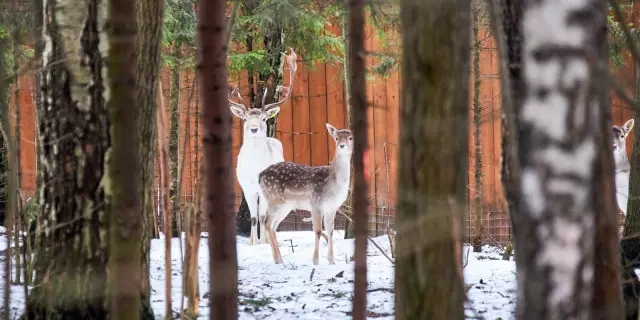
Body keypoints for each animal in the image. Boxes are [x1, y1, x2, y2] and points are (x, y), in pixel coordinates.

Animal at [229, 47, 298, 245]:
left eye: (263, 118)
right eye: (245, 118)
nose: (253, 128)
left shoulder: (264, 188)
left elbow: (261, 216)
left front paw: (262, 243)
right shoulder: (246, 187)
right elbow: (253, 218)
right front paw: (254, 244)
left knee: (268, 215)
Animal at [258, 124, 352, 264]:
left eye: (350, 138)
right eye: (336, 138)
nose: (342, 145)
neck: (333, 183)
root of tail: (260, 175)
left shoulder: (332, 208)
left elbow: (330, 231)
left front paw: (332, 261)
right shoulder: (316, 204)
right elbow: (318, 231)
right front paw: (315, 261)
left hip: (285, 206)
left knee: (274, 226)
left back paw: (280, 259)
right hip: (273, 199)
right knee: (268, 223)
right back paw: (277, 259)